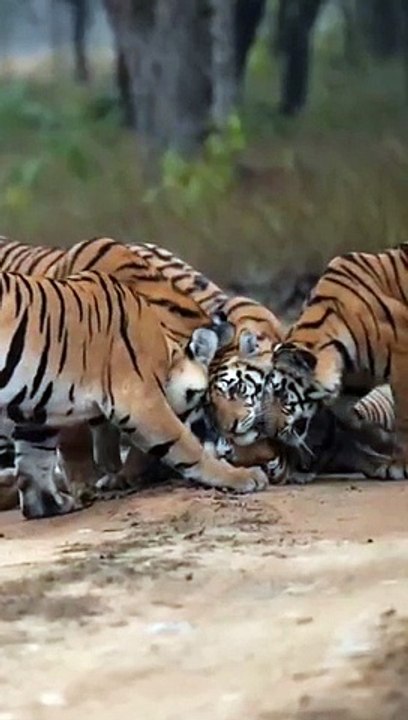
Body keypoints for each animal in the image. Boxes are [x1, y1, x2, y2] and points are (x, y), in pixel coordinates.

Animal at [260, 245, 408, 480]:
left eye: (280, 393)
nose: (271, 433)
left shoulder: (402, 364)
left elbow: (404, 419)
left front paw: (398, 465)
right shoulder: (354, 378)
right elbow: (345, 415)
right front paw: (374, 433)